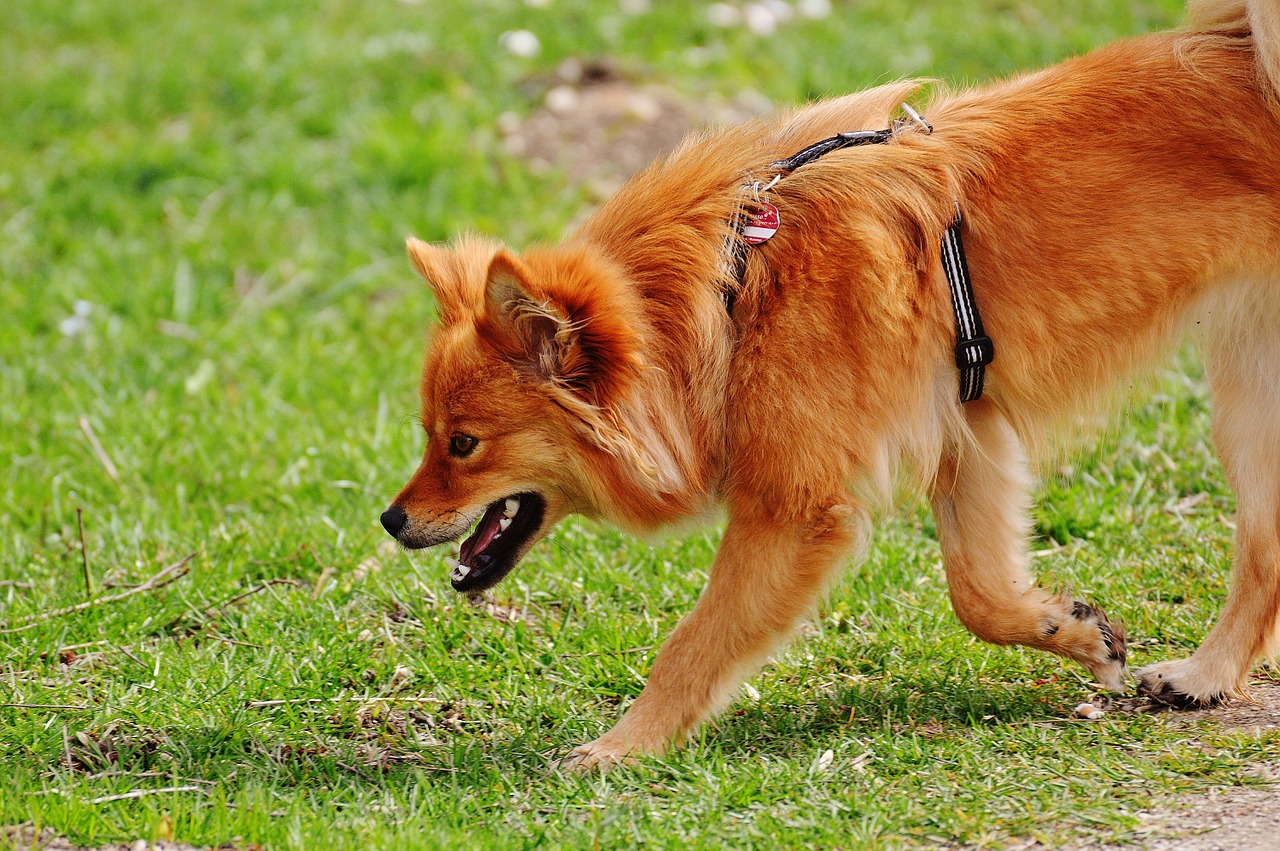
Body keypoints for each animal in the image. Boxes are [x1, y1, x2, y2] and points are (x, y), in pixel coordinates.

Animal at [384, 0, 1280, 767]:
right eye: (428, 435)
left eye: (463, 444)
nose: (390, 520)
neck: (734, 291)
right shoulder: (969, 436)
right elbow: (979, 594)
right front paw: (1075, 629)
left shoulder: (792, 509)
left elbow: (694, 642)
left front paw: (622, 747)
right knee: (1265, 545)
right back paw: (1205, 676)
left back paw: (1204, 675)